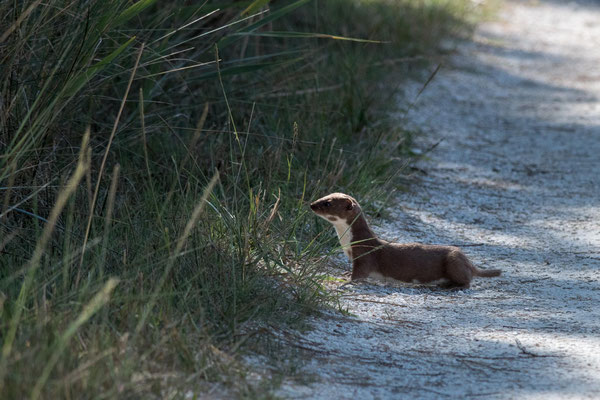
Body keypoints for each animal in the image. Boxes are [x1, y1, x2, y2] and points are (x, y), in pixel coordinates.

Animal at [310, 193, 502, 290]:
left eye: (327, 203)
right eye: (324, 195)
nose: (311, 204)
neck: (347, 244)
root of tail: (469, 261)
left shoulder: (365, 255)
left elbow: (359, 274)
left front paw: (345, 281)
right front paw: (344, 274)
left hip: (453, 260)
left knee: (467, 281)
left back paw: (451, 286)